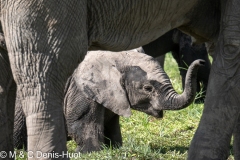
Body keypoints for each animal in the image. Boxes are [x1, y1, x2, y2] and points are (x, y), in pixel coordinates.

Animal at [63, 50, 204, 152]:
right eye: (147, 88)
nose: (201, 61)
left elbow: (111, 124)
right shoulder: (82, 91)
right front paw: (89, 152)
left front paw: (115, 149)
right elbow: (82, 122)